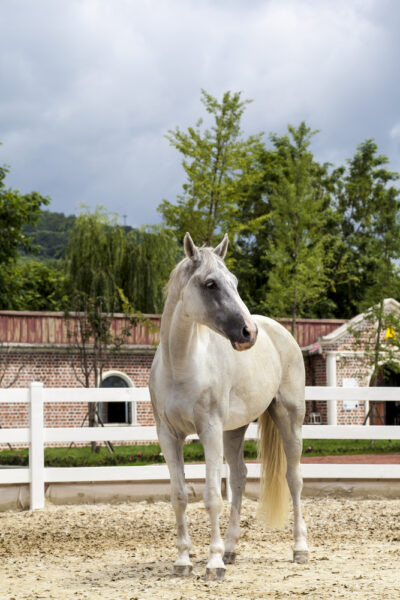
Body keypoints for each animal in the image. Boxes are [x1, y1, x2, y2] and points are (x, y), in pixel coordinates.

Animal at [150, 232, 310, 580]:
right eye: (210, 284)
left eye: (234, 282)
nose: (249, 332)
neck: (181, 364)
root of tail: (279, 330)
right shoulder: (168, 436)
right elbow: (179, 496)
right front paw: (183, 561)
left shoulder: (209, 431)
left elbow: (211, 496)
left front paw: (213, 564)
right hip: (234, 430)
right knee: (238, 478)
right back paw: (232, 548)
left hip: (289, 420)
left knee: (294, 479)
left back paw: (300, 549)